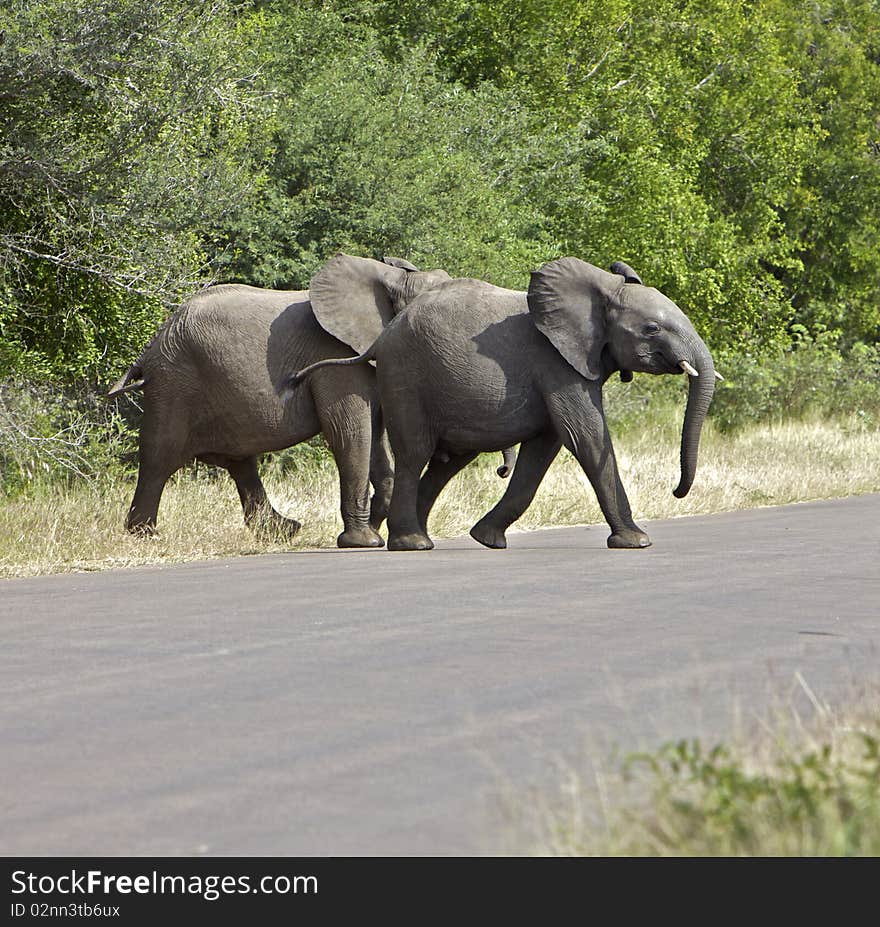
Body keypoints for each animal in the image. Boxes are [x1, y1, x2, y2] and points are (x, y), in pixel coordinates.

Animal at [286, 258, 720, 552]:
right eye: (652, 329)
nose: (676, 491)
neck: (600, 291)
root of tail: (384, 335)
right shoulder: (556, 363)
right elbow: (585, 436)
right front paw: (637, 541)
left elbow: (544, 450)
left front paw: (487, 539)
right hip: (405, 376)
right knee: (414, 453)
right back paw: (412, 544)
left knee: (447, 460)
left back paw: (416, 537)